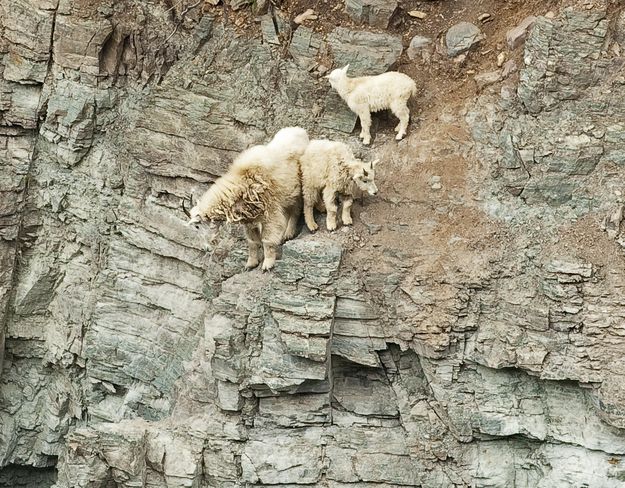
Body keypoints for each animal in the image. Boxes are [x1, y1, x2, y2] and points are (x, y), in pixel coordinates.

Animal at [185, 127, 310, 270]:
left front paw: (267, 264)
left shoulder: (270, 211)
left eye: (197, 226)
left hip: (297, 187)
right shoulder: (249, 218)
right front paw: (251, 263)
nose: (205, 248)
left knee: (296, 209)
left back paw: (289, 232)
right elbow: (252, 242)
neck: (241, 184)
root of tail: (301, 131)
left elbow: (267, 239)